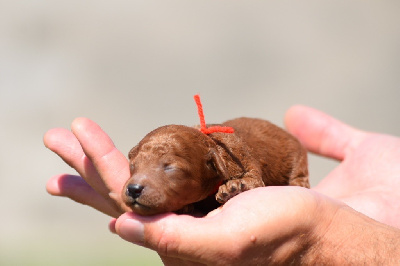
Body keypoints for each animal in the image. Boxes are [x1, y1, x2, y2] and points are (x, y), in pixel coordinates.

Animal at [122, 118, 310, 216]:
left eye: (170, 168)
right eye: (132, 166)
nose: (133, 189)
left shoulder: (243, 158)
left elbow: (253, 180)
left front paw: (235, 187)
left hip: (297, 159)